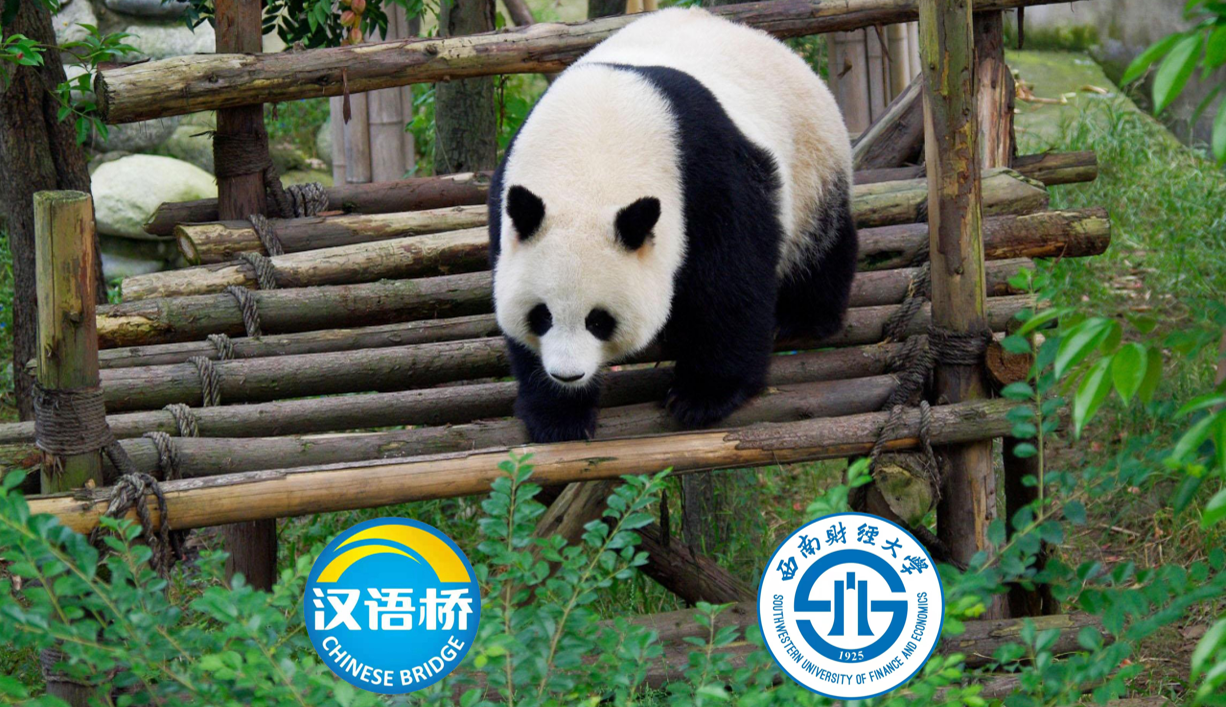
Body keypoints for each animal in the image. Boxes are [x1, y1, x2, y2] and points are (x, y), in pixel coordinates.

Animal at [489, 7, 857, 443]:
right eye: (541, 315)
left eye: (599, 320)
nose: (567, 374)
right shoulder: (508, 199)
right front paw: (558, 412)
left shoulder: (703, 171)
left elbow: (731, 278)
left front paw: (702, 395)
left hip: (811, 156)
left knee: (819, 239)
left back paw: (806, 315)